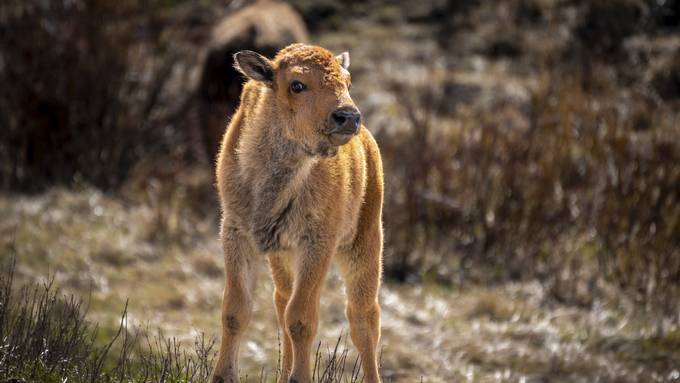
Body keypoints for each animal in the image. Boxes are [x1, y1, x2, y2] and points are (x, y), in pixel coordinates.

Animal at [211, 42, 382, 383]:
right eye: (297, 85)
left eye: (347, 81)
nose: (348, 117)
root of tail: (369, 144)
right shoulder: (237, 233)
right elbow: (236, 310)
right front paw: (222, 376)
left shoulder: (317, 244)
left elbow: (301, 320)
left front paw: (300, 376)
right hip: (282, 256)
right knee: (282, 302)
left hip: (363, 245)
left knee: (363, 319)